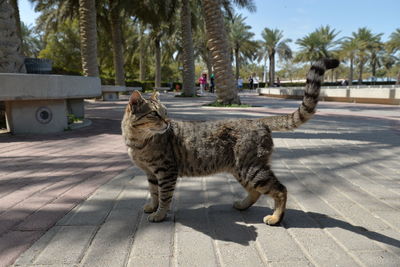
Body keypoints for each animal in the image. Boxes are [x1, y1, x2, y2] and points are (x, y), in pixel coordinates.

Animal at [121, 59, 338, 226]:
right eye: (155, 114)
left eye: (165, 113)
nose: (167, 122)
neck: (137, 142)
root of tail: (258, 120)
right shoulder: (151, 173)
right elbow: (153, 192)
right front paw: (152, 207)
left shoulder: (166, 171)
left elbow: (164, 196)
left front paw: (159, 214)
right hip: (241, 169)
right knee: (255, 192)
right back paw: (242, 205)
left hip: (251, 168)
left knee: (280, 189)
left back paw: (275, 218)